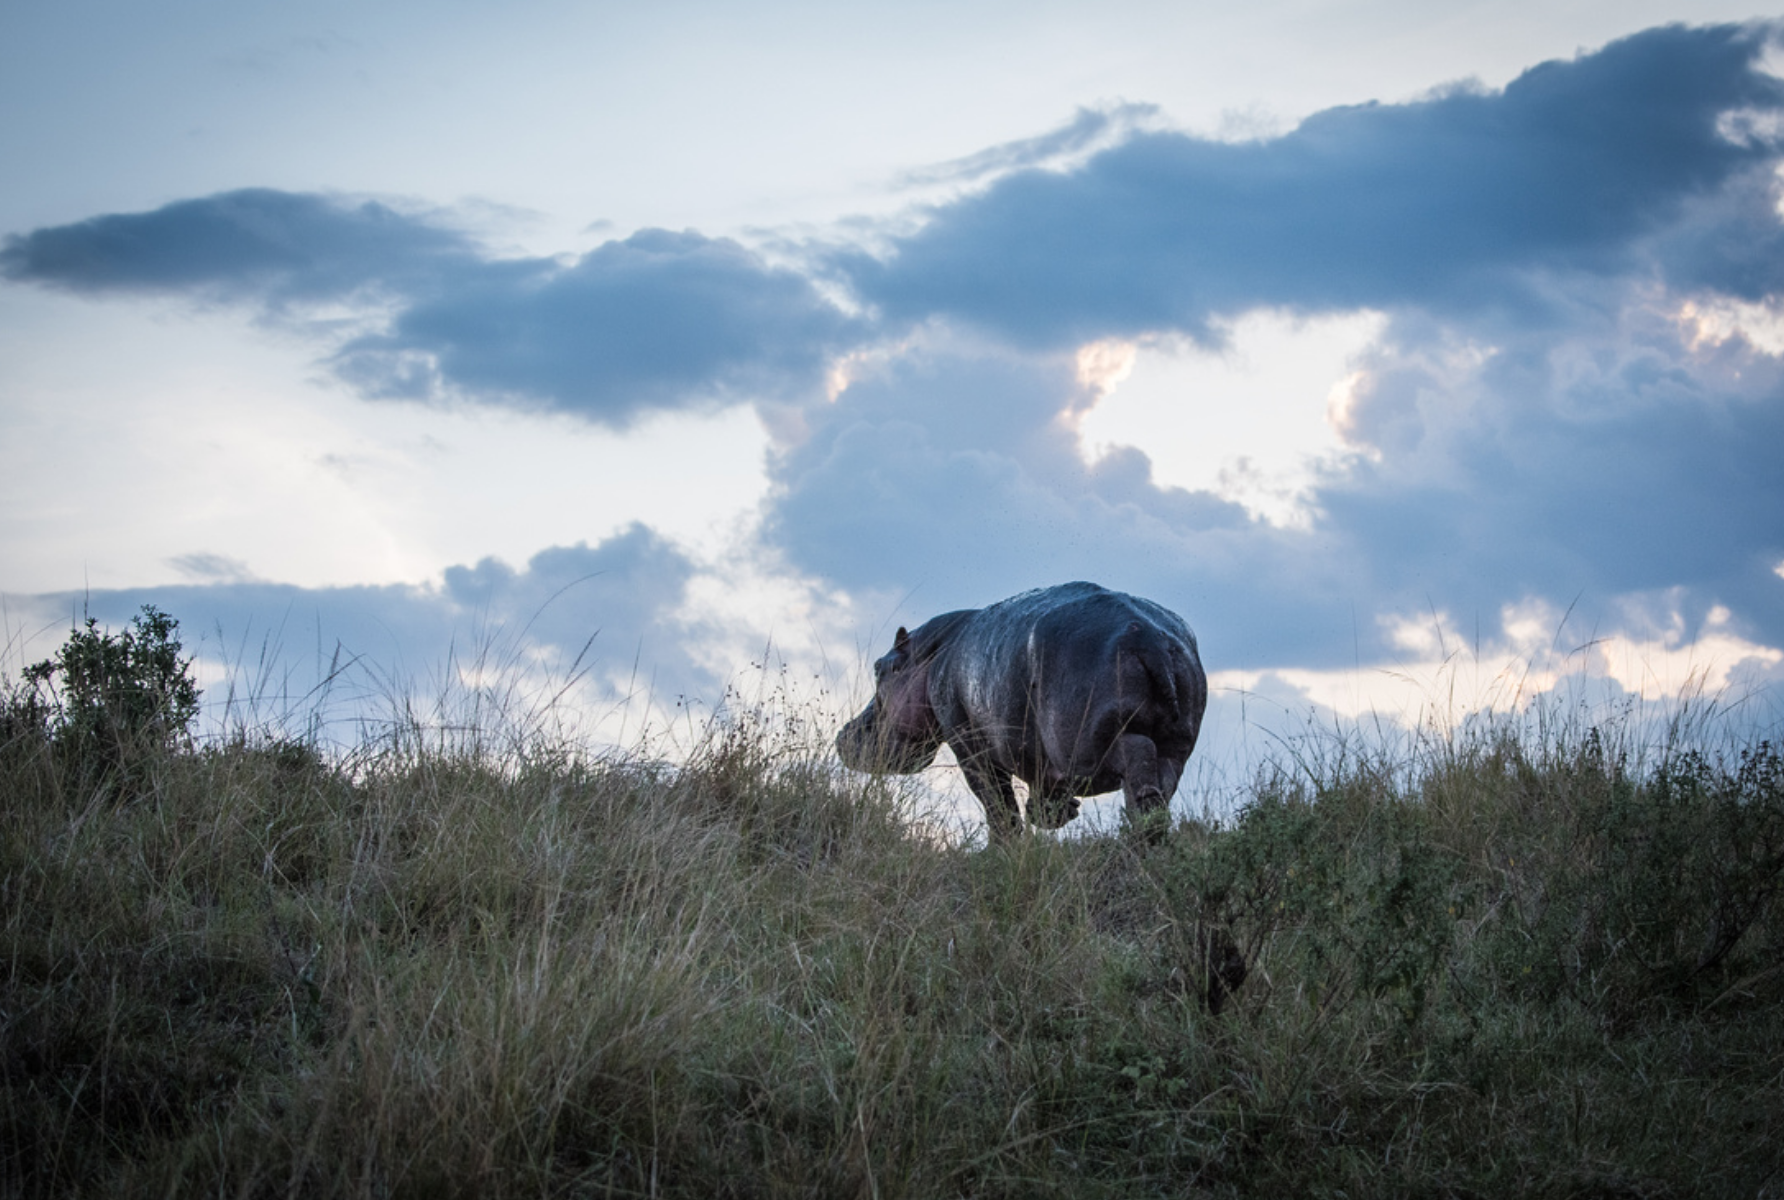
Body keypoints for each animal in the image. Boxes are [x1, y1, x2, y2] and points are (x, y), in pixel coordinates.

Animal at [838, 581, 1213, 841]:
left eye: (879, 668)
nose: (845, 733)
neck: (930, 655)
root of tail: (1148, 638)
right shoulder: (1035, 753)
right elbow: (1039, 791)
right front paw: (1054, 812)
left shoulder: (968, 746)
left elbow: (996, 802)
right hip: (1175, 743)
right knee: (1161, 785)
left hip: (1091, 743)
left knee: (1139, 768)